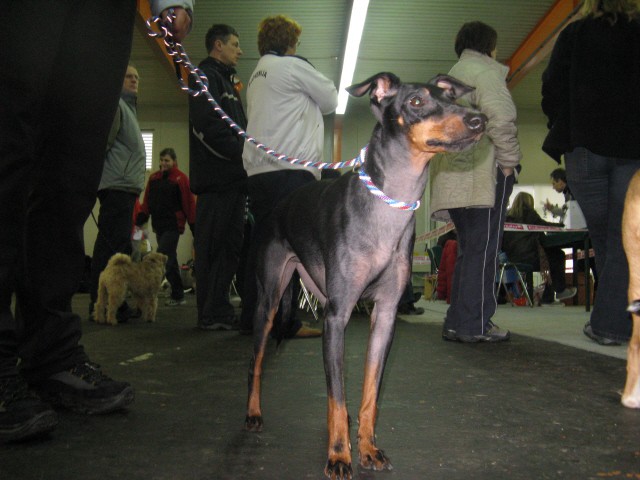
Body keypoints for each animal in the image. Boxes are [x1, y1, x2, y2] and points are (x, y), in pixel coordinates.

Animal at [245, 72, 484, 480]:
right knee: (256, 363)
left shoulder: (384, 315)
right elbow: (338, 396)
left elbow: (367, 393)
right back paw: (253, 413)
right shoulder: (337, 315)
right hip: (269, 301)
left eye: (449, 96)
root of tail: (279, 206)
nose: (478, 120)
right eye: (416, 102)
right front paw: (339, 456)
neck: (387, 208)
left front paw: (368, 448)